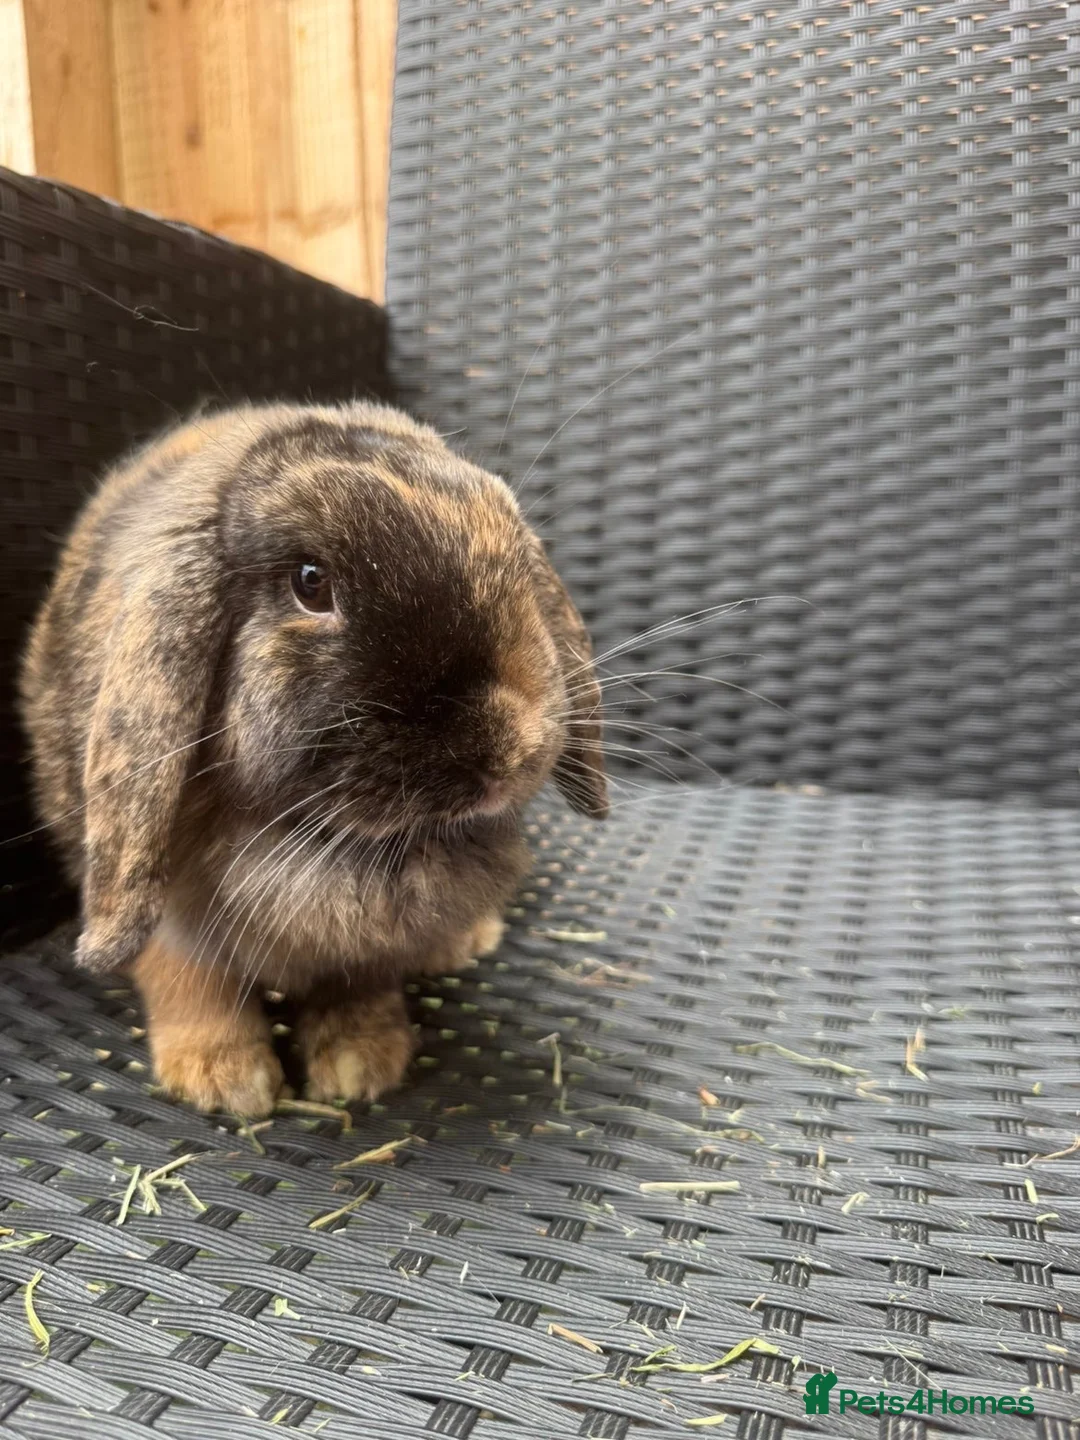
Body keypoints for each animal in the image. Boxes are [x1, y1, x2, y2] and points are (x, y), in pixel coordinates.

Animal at [19, 402, 607, 1116]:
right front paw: (226, 1080)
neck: (315, 843)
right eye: (311, 582)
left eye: (517, 558)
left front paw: (362, 1063)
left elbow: (357, 982)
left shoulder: (368, 945)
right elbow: (186, 977)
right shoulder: (164, 904)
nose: (507, 752)